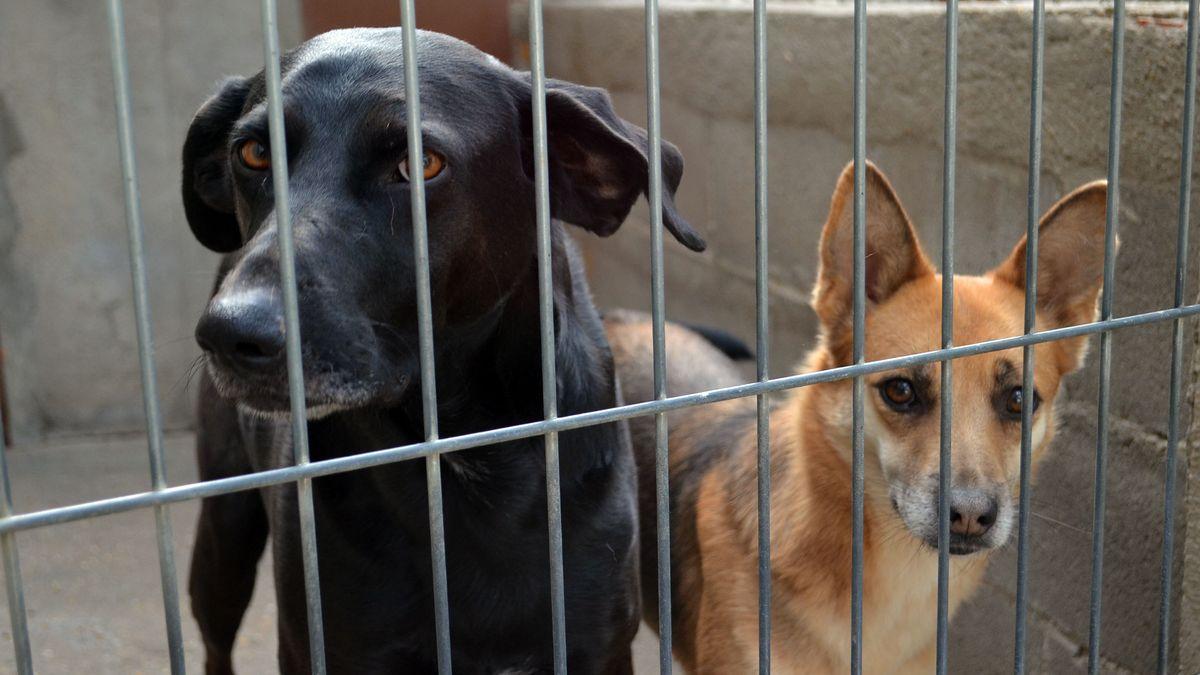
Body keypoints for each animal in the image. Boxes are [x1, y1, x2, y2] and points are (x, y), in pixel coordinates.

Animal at [178, 28, 700, 667]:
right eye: (253, 153)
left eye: (421, 163)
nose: (230, 332)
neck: (467, 456)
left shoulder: (598, 647)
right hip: (224, 533)